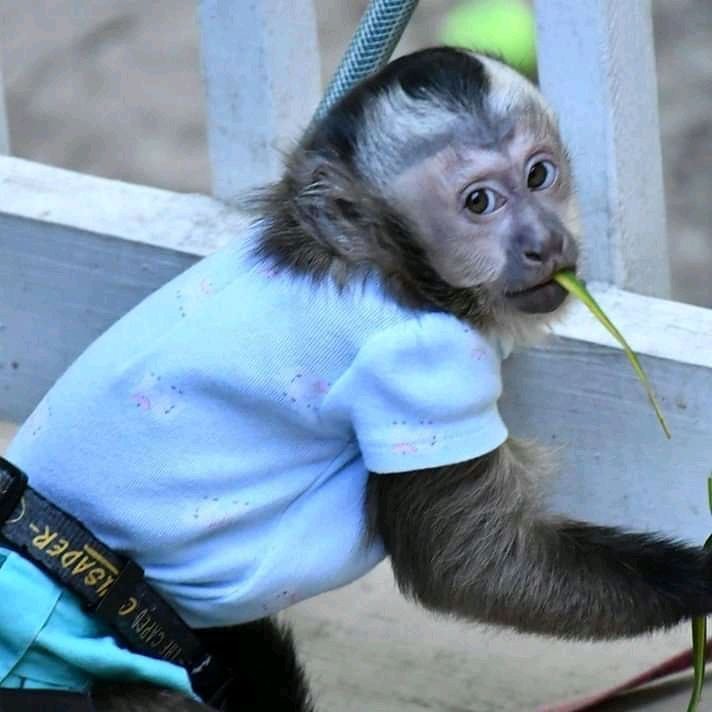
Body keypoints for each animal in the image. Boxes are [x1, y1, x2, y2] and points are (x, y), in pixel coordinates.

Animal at [2, 48, 712, 712]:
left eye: (540, 175)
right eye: (479, 202)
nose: (545, 240)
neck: (386, 264)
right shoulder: (421, 367)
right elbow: (469, 569)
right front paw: (705, 578)